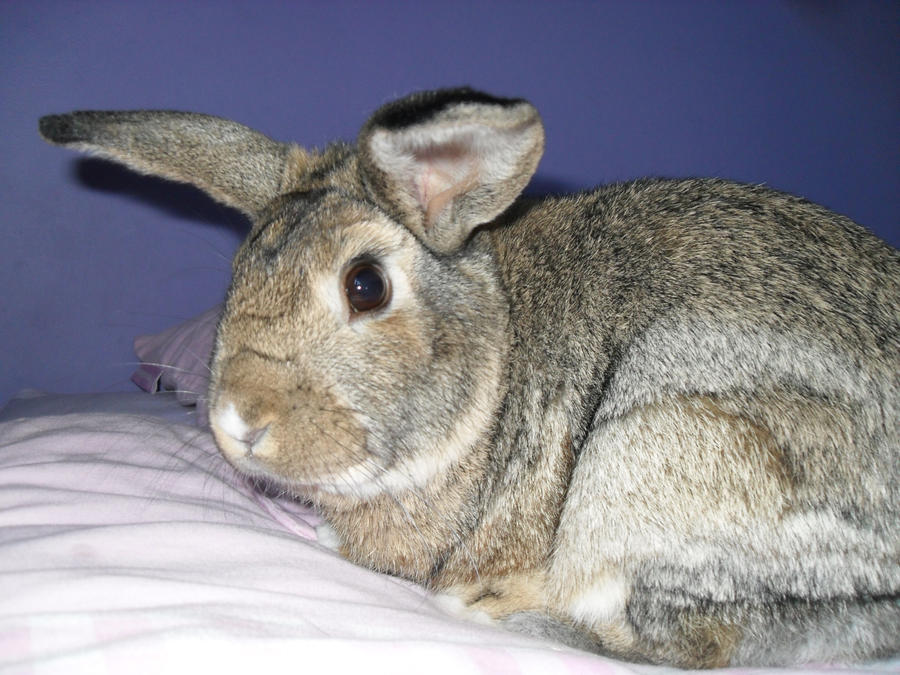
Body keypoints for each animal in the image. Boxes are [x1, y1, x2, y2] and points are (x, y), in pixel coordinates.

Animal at [39, 87, 899, 668]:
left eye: (365, 285)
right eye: (241, 273)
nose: (238, 418)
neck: (497, 366)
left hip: (656, 452)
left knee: (691, 644)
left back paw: (492, 610)